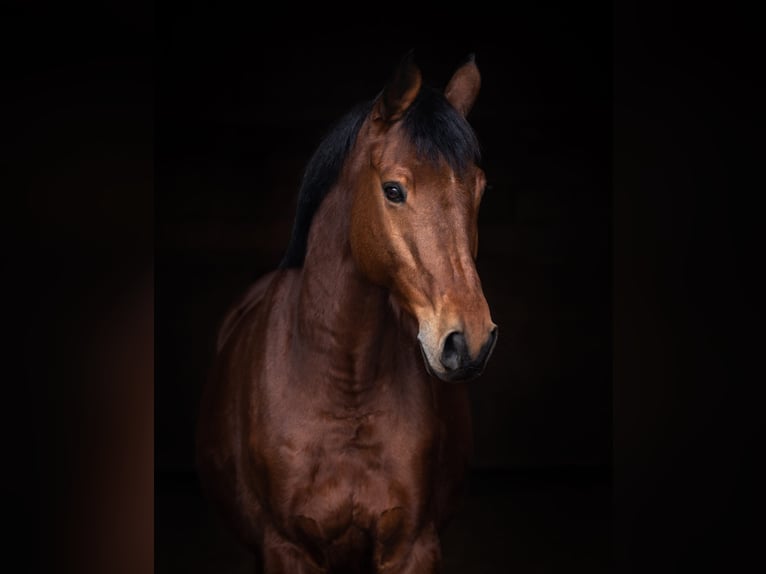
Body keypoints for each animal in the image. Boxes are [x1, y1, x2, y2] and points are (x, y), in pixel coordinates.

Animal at [196, 52, 498, 573]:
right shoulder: (286, 548)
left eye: (478, 188)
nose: (470, 341)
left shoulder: (412, 547)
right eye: (393, 190)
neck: (344, 388)